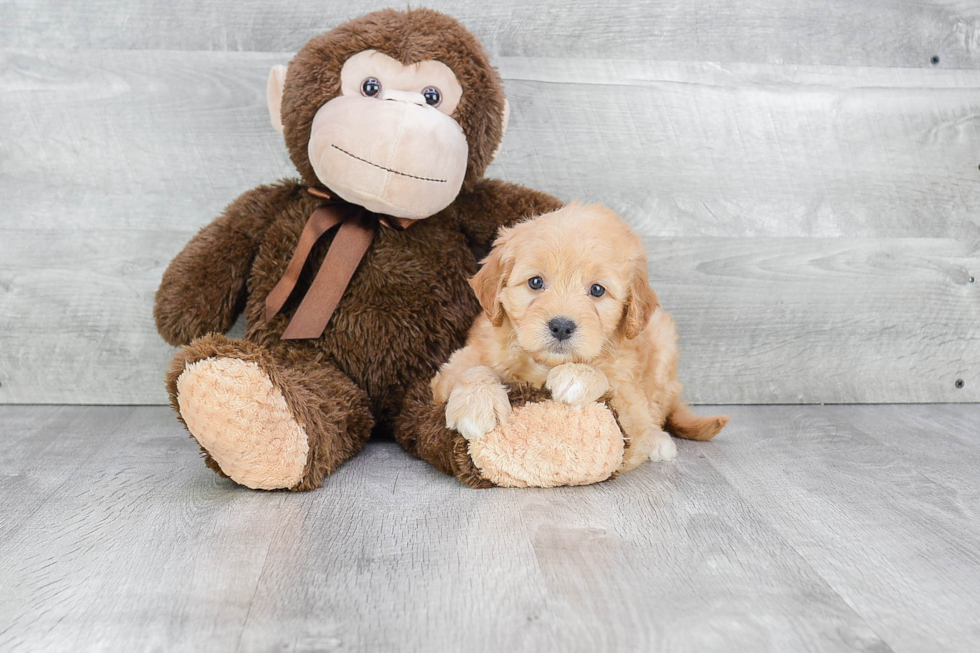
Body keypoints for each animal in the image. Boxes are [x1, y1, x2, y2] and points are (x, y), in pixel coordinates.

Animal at [430, 201, 728, 466]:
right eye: (535, 282)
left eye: (597, 290)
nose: (561, 326)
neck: (543, 365)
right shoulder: (455, 366)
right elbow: (473, 369)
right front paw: (477, 404)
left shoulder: (630, 397)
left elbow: (613, 387)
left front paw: (577, 376)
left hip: (663, 342)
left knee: (657, 409)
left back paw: (658, 440)